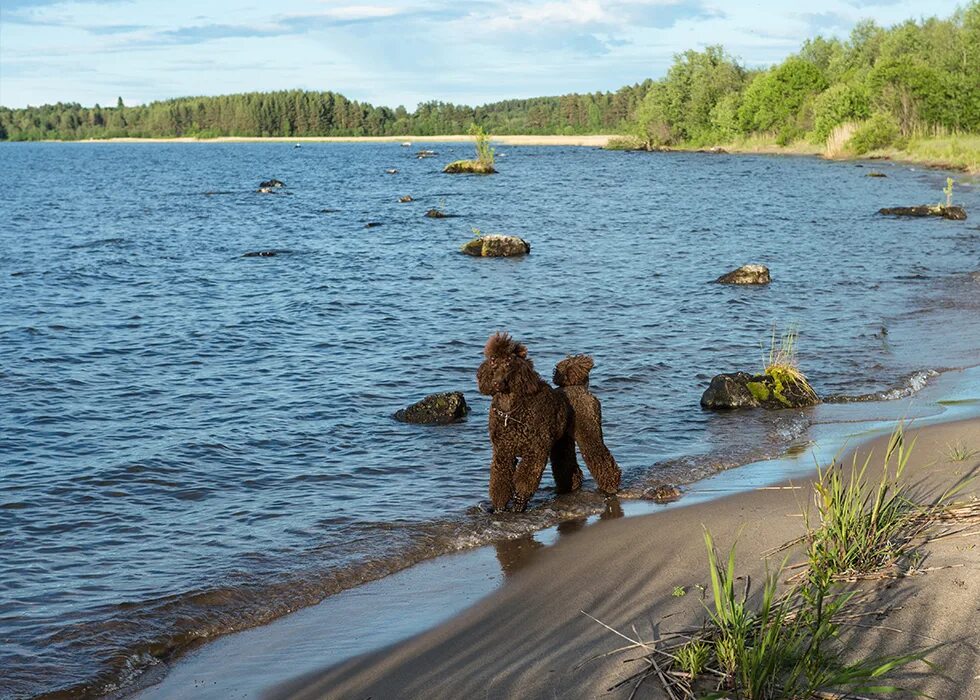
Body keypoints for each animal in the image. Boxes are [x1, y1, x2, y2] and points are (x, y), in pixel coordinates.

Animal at [476, 330, 580, 512]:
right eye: (493, 362)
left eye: (508, 363)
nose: (496, 383)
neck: (509, 411)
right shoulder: (503, 452)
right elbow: (500, 481)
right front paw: (499, 508)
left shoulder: (535, 451)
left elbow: (525, 479)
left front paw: (518, 504)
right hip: (561, 443)